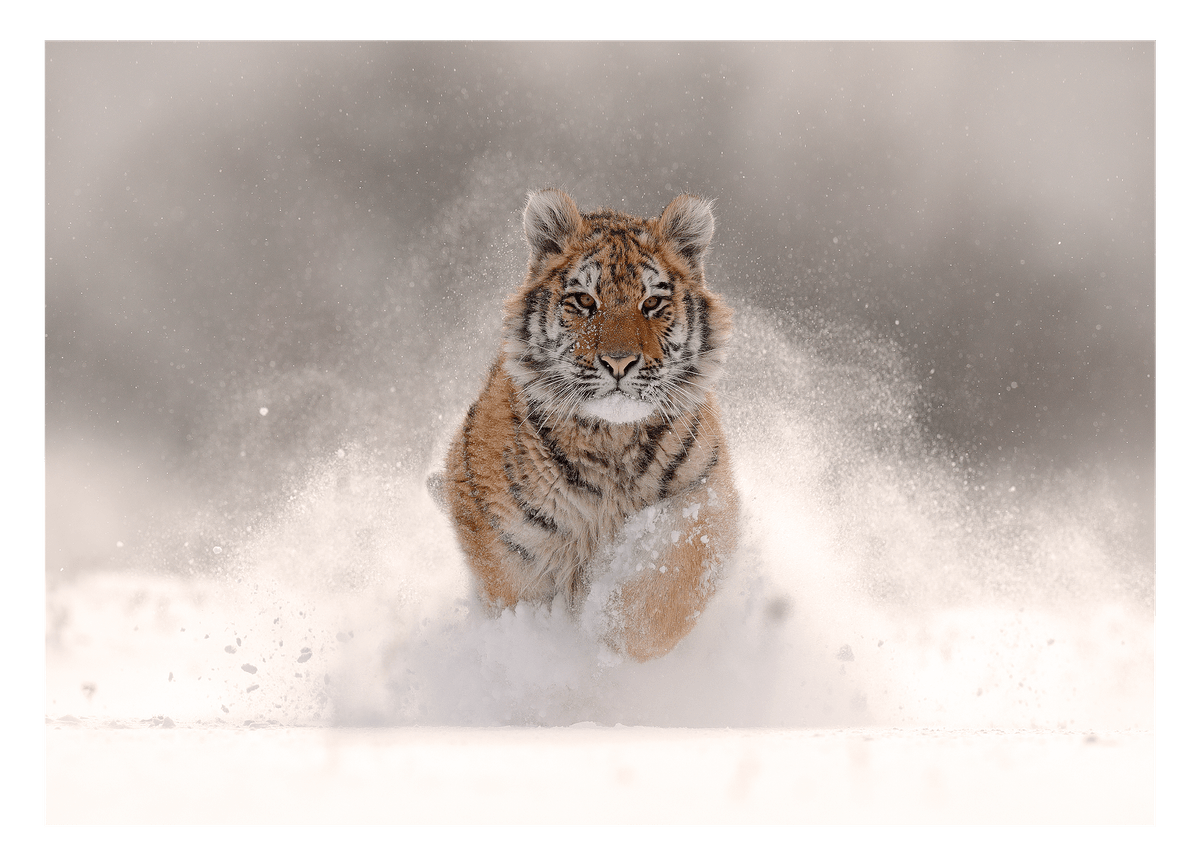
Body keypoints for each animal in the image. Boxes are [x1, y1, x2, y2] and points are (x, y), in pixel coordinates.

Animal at [439, 189, 739, 661]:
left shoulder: (705, 497)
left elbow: (666, 589)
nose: (619, 362)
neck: (611, 441)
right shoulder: (505, 541)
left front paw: (609, 634)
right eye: (584, 301)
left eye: (651, 303)